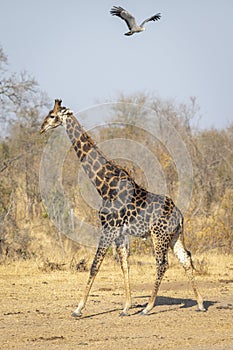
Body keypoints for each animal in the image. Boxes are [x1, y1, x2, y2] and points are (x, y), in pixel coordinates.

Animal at [40, 99, 206, 318]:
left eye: (52, 115)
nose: (41, 128)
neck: (104, 185)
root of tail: (179, 216)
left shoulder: (108, 228)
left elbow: (95, 265)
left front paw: (78, 309)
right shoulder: (120, 232)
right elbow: (124, 265)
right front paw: (126, 307)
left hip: (159, 235)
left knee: (162, 263)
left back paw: (148, 307)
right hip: (175, 235)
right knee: (186, 258)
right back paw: (200, 303)